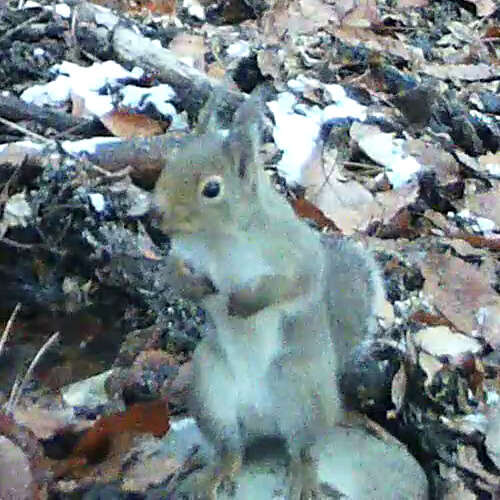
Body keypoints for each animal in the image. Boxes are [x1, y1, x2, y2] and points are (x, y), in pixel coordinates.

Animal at [151, 88, 382, 498]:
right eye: (170, 161)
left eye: (212, 189)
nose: (156, 214)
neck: (218, 240)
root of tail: (263, 422)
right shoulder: (183, 254)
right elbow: (172, 273)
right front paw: (197, 286)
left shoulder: (295, 251)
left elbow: (295, 282)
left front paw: (244, 301)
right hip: (211, 390)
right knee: (231, 448)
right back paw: (215, 474)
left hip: (303, 390)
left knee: (302, 448)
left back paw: (303, 477)